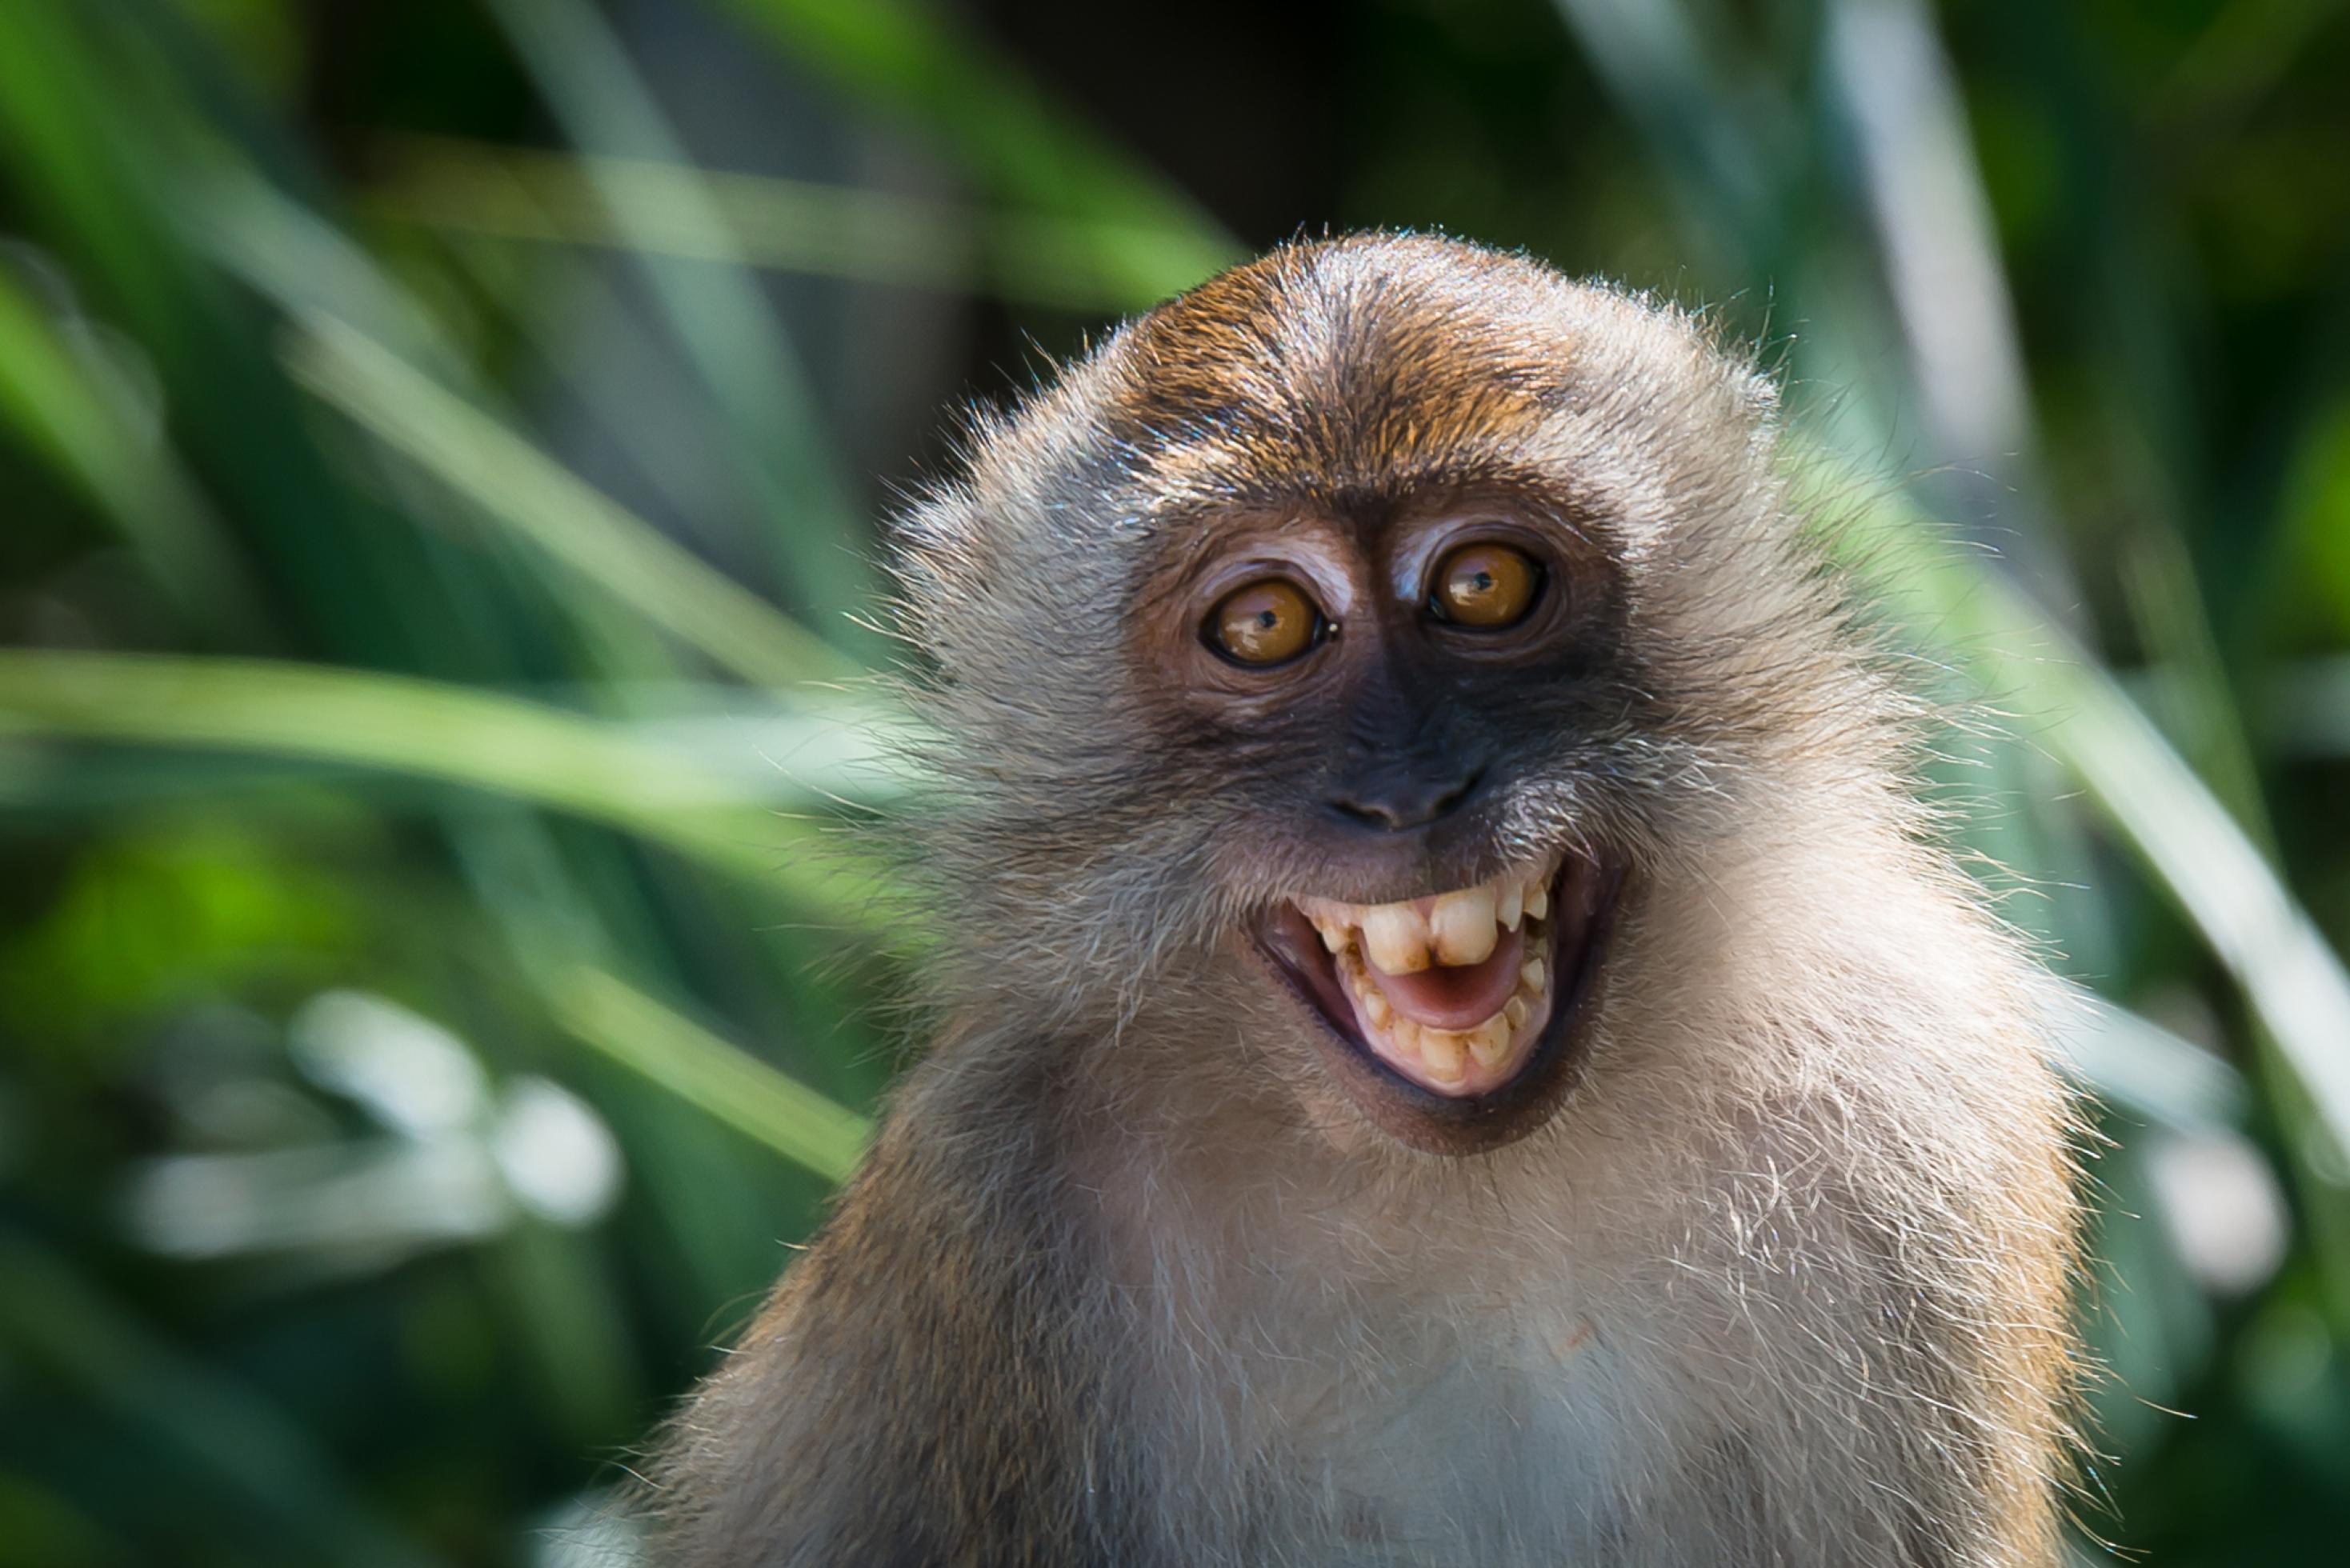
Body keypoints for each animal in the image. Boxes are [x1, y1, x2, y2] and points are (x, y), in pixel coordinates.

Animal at [639, 236, 2077, 1568]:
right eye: (1266, 623)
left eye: (1481, 585)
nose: (1408, 792)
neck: (1478, 1191)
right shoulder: (978, 1194)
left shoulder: (1919, 1087)